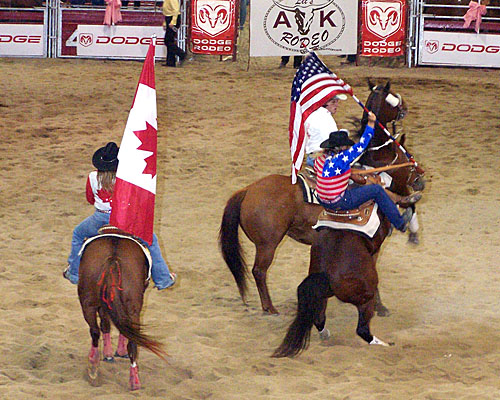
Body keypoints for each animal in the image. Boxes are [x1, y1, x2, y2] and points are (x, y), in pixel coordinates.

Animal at [77, 233, 165, 390]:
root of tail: (113, 258)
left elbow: (106, 324)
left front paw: (108, 354)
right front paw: (116, 352)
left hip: (88, 302)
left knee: (95, 331)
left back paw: (93, 366)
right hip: (133, 307)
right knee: (130, 338)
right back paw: (134, 380)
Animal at [220, 81, 426, 316]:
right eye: (393, 97)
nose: (420, 179)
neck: (374, 169)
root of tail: (246, 191)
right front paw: (380, 306)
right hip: (267, 244)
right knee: (259, 271)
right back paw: (270, 307)